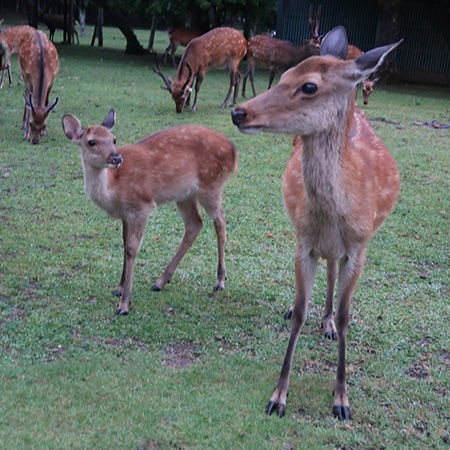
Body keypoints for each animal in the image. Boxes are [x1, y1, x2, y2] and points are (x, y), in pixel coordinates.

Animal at [63, 109, 239, 316]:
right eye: (92, 142)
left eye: (114, 139)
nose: (116, 158)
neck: (113, 189)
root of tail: (233, 151)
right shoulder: (125, 214)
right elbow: (124, 244)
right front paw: (119, 288)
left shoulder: (141, 206)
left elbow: (132, 248)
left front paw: (124, 305)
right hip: (185, 194)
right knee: (195, 223)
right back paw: (160, 282)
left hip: (210, 185)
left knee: (220, 221)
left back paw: (219, 281)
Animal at [232, 23, 400, 418]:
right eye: (285, 75)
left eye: (309, 86)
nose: (239, 112)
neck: (334, 214)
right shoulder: (304, 242)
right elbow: (299, 313)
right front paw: (278, 396)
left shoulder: (359, 246)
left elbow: (346, 314)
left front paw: (341, 400)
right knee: (327, 270)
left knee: (333, 272)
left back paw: (327, 324)